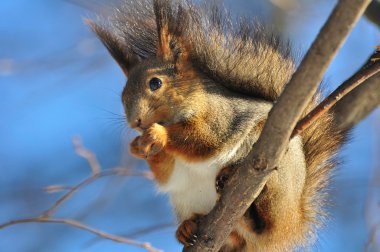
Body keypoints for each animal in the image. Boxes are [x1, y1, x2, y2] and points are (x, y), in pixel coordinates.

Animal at [88, 0, 348, 251]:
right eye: (123, 95)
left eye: (155, 83)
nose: (136, 122)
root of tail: (294, 223)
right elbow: (165, 173)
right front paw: (137, 146)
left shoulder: (221, 117)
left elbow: (204, 140)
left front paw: (158, 134)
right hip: (185, 199)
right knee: (236, 238)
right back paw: (189, 228)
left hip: (279, 180)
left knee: (265, 225)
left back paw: (246, 205)